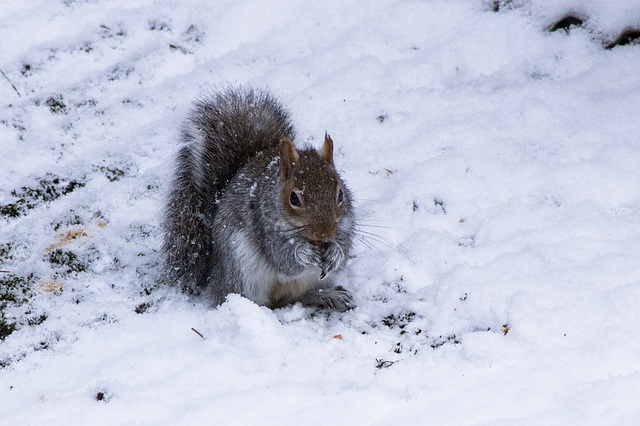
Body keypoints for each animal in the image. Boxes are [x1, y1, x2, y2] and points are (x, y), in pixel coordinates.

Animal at [162, 87, 358, 312]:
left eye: (340, 194)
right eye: (294, 198)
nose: (324, 234)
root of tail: (215, 275)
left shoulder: (345, 223)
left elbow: (344, 244)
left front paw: (335, 253)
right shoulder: (264, 226)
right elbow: (284, 259)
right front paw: (304, 254)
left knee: (294, 297)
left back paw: (328, 295)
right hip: (241, 268)